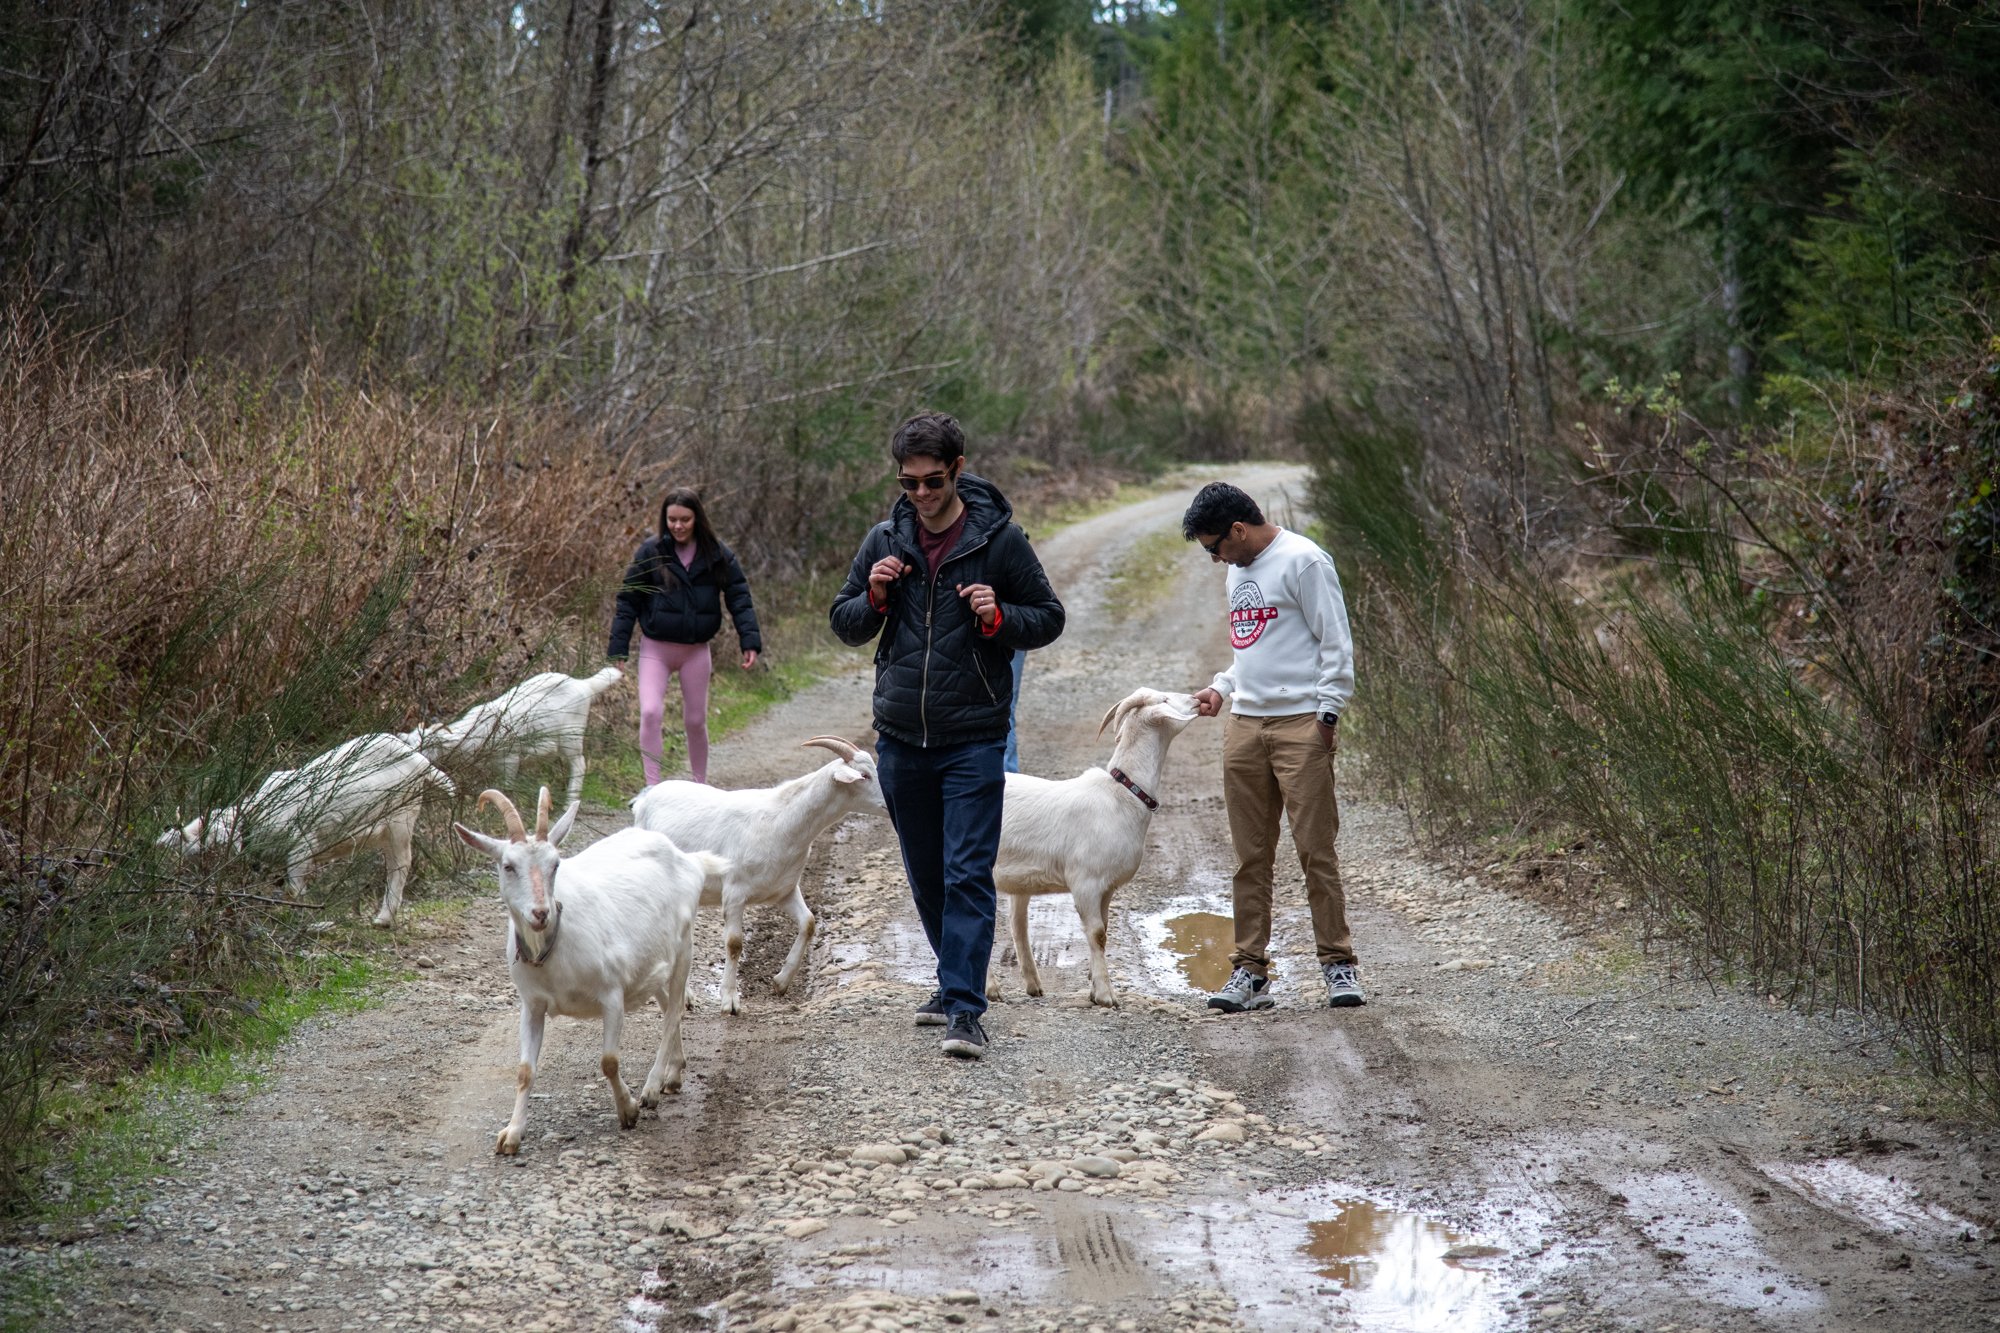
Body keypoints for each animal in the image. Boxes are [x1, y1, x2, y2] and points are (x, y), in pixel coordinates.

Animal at [157, 733, 455, 927]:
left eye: (213, 850)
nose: (201, 889)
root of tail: (418, 759)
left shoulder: (301, 846)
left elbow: (295, 888)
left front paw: (302, 919)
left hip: (400, 819)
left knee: (400, 865)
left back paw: (383, 919)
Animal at [403, 667, 622, 808]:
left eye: (426, 746)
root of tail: (583, 684)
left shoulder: (510, 758)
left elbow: (506, 785)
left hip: (571, 737)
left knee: (579, 764)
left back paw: (570, 800)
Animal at [453, 786, 729, 1155]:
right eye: (508, 866)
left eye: (555, 864)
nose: (540, 913)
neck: (554, 948)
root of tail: (687, 859)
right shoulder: (532, 1004)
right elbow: (525, 1070)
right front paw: (511, 1134)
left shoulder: (611, 994)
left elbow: (609, 1061)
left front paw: (628, 1110)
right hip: (652, 964)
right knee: (666, 1002)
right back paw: (674, 1072)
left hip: (684, 947)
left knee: (673, 1012)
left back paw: (652, 1088)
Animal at [630, 736, 886, 1015]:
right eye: (864, 775)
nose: (889, 803)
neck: (782, 821)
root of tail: (646, 798)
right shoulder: (734, 893)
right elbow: (734, 943)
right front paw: (730, 1000)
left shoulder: (785, 890)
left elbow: (808, 923)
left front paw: (781, 981)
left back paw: (685, 998)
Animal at [994, 688, 1202, 1007]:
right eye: (1164, 699)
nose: (1197, 699)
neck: (1123, 795)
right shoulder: (1086, 882)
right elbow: (1097, 934)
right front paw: (1105, 995)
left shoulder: (1107, 887)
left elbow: (1104, 930)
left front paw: (1094, 989)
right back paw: (989, 989)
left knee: (1016, 926)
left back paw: (1032, 985)